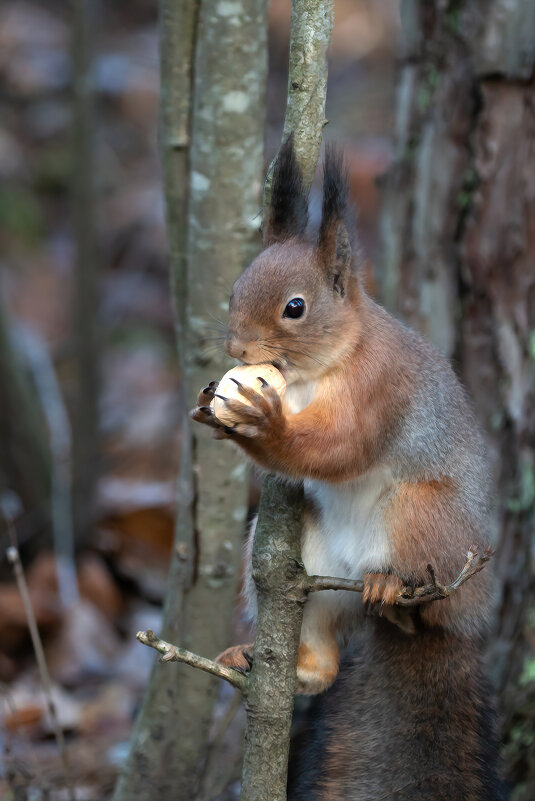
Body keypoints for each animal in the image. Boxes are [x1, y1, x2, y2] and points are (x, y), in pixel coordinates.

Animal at [194, 141, 506, 796]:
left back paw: (399, 595)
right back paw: (289, 666)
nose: (236, 348)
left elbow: (342, 447)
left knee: (424, 612)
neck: (315, 373)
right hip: (311, 574)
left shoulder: (379, 387)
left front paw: (267, 428)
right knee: (324, 651)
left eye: (295, 307)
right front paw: (215, 413)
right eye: (235, 289)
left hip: (425, 523)